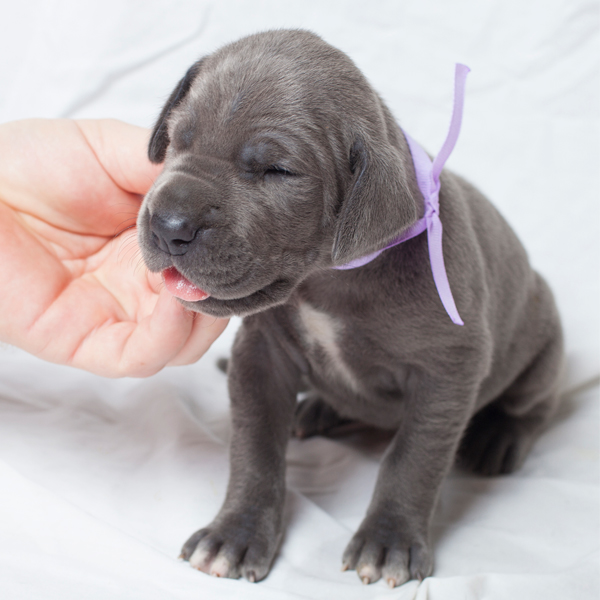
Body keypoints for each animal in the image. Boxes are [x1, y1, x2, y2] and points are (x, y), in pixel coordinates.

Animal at [136, 30, 564, 588]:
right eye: (176, 140)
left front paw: (388, 540)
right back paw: (318, 408)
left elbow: (414, 456)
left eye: (277, 170)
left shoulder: (449, 368)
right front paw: (234, 533)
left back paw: (501, 438)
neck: (325, 281)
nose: (168, 224)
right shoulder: (262, 355)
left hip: (544, 339)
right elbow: (253, 447)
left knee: (535, 403)